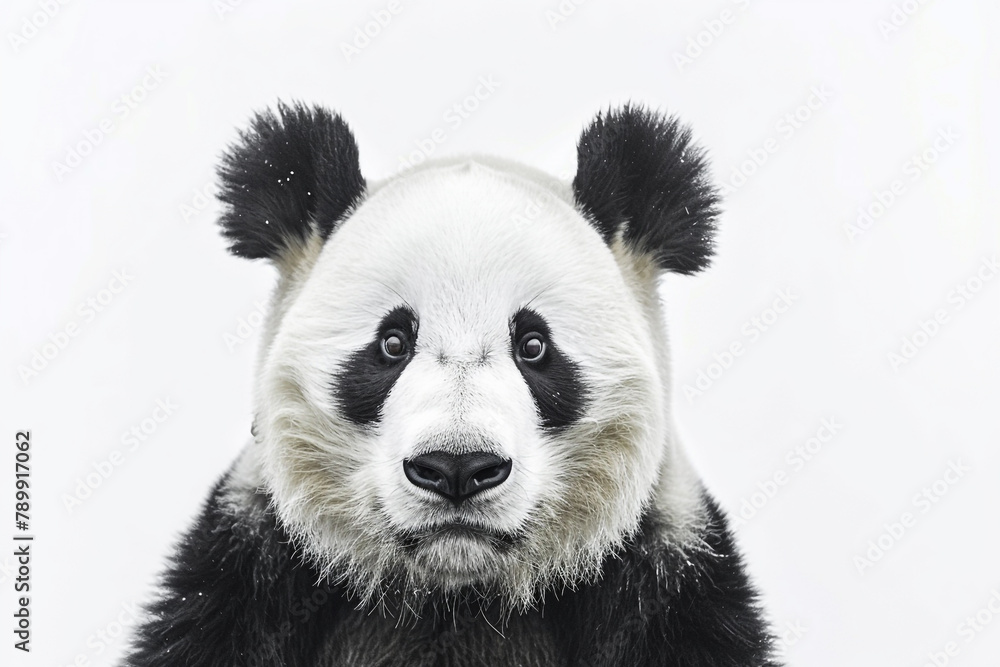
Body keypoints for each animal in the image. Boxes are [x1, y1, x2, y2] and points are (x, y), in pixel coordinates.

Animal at [125, 102, 777, 667]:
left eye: (534, 346)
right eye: (391, 344)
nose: (457, 468)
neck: (453, 599)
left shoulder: (665, 581)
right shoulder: (250, 577)